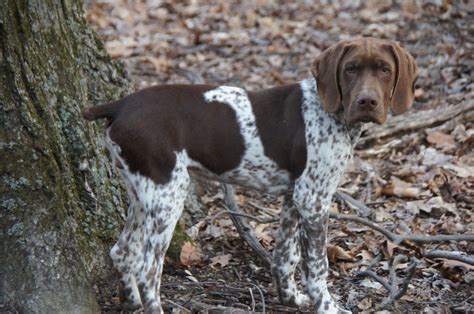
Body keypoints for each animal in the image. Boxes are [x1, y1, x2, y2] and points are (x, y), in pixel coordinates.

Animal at [82, 38, 418, 312]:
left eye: (384, 70)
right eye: (350, 69)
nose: (367, 102)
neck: (331, 112)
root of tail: (121, 104)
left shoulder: (293, 198)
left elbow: (285, 256)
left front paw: (291, 299)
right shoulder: (313, 200)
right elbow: (317, 266)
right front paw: (327, 306)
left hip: (143, 194)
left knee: (122, 252)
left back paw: (132, 304)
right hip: (168, 196)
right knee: (148, 270)